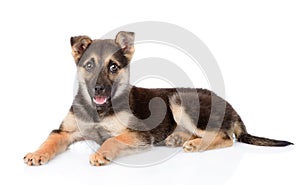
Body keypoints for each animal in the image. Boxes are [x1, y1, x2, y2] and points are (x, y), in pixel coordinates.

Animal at [24, 31, 292, 165]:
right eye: (89, 65)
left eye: (113, 67)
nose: (99, 89)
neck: (99, 110)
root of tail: (231, 107)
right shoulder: (65, 132)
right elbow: (49, 140)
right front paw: (38, 153)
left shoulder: (138, 134)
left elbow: (112, 139)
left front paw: (102, 153)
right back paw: (179, 138)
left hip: (179, 100)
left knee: (226, 137)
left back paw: (195, 143)